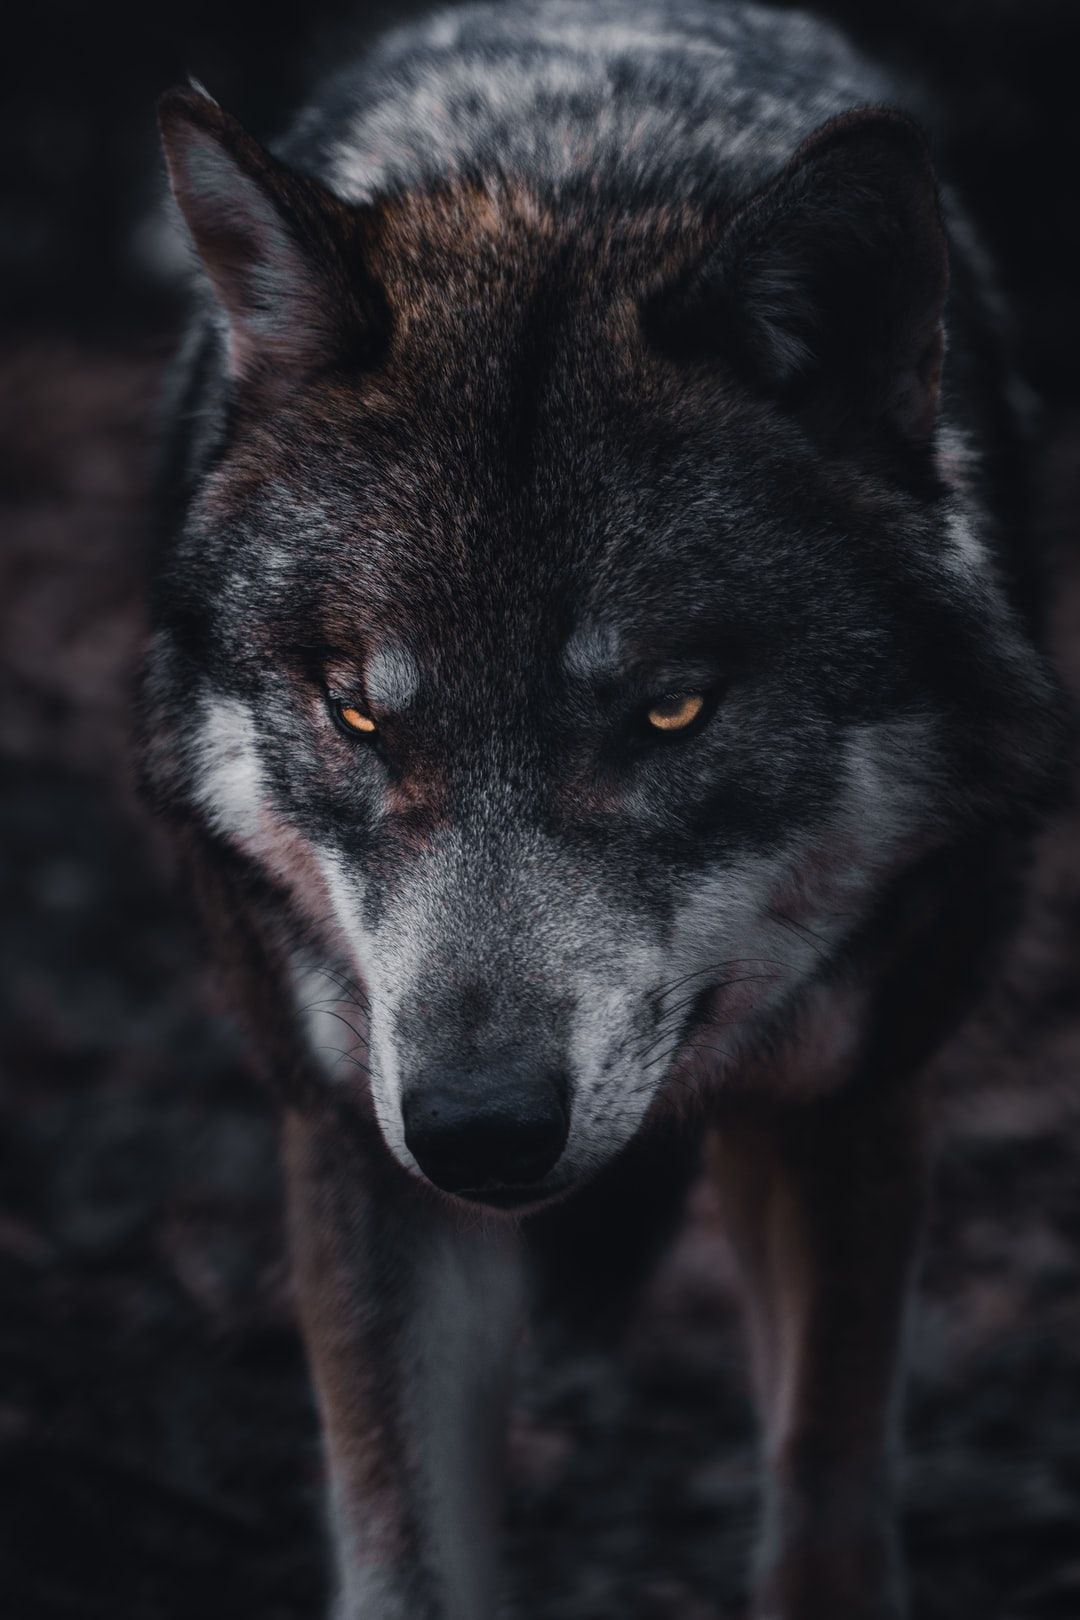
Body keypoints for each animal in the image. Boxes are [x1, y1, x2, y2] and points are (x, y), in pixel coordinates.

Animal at [142, 1, 1065, 1615]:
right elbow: (405, 1556)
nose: (478, 1129)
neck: (568, 175)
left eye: (670, 711)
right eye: (359, 713)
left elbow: (826, 1498)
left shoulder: (854, 1099)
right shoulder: (354, 1139)